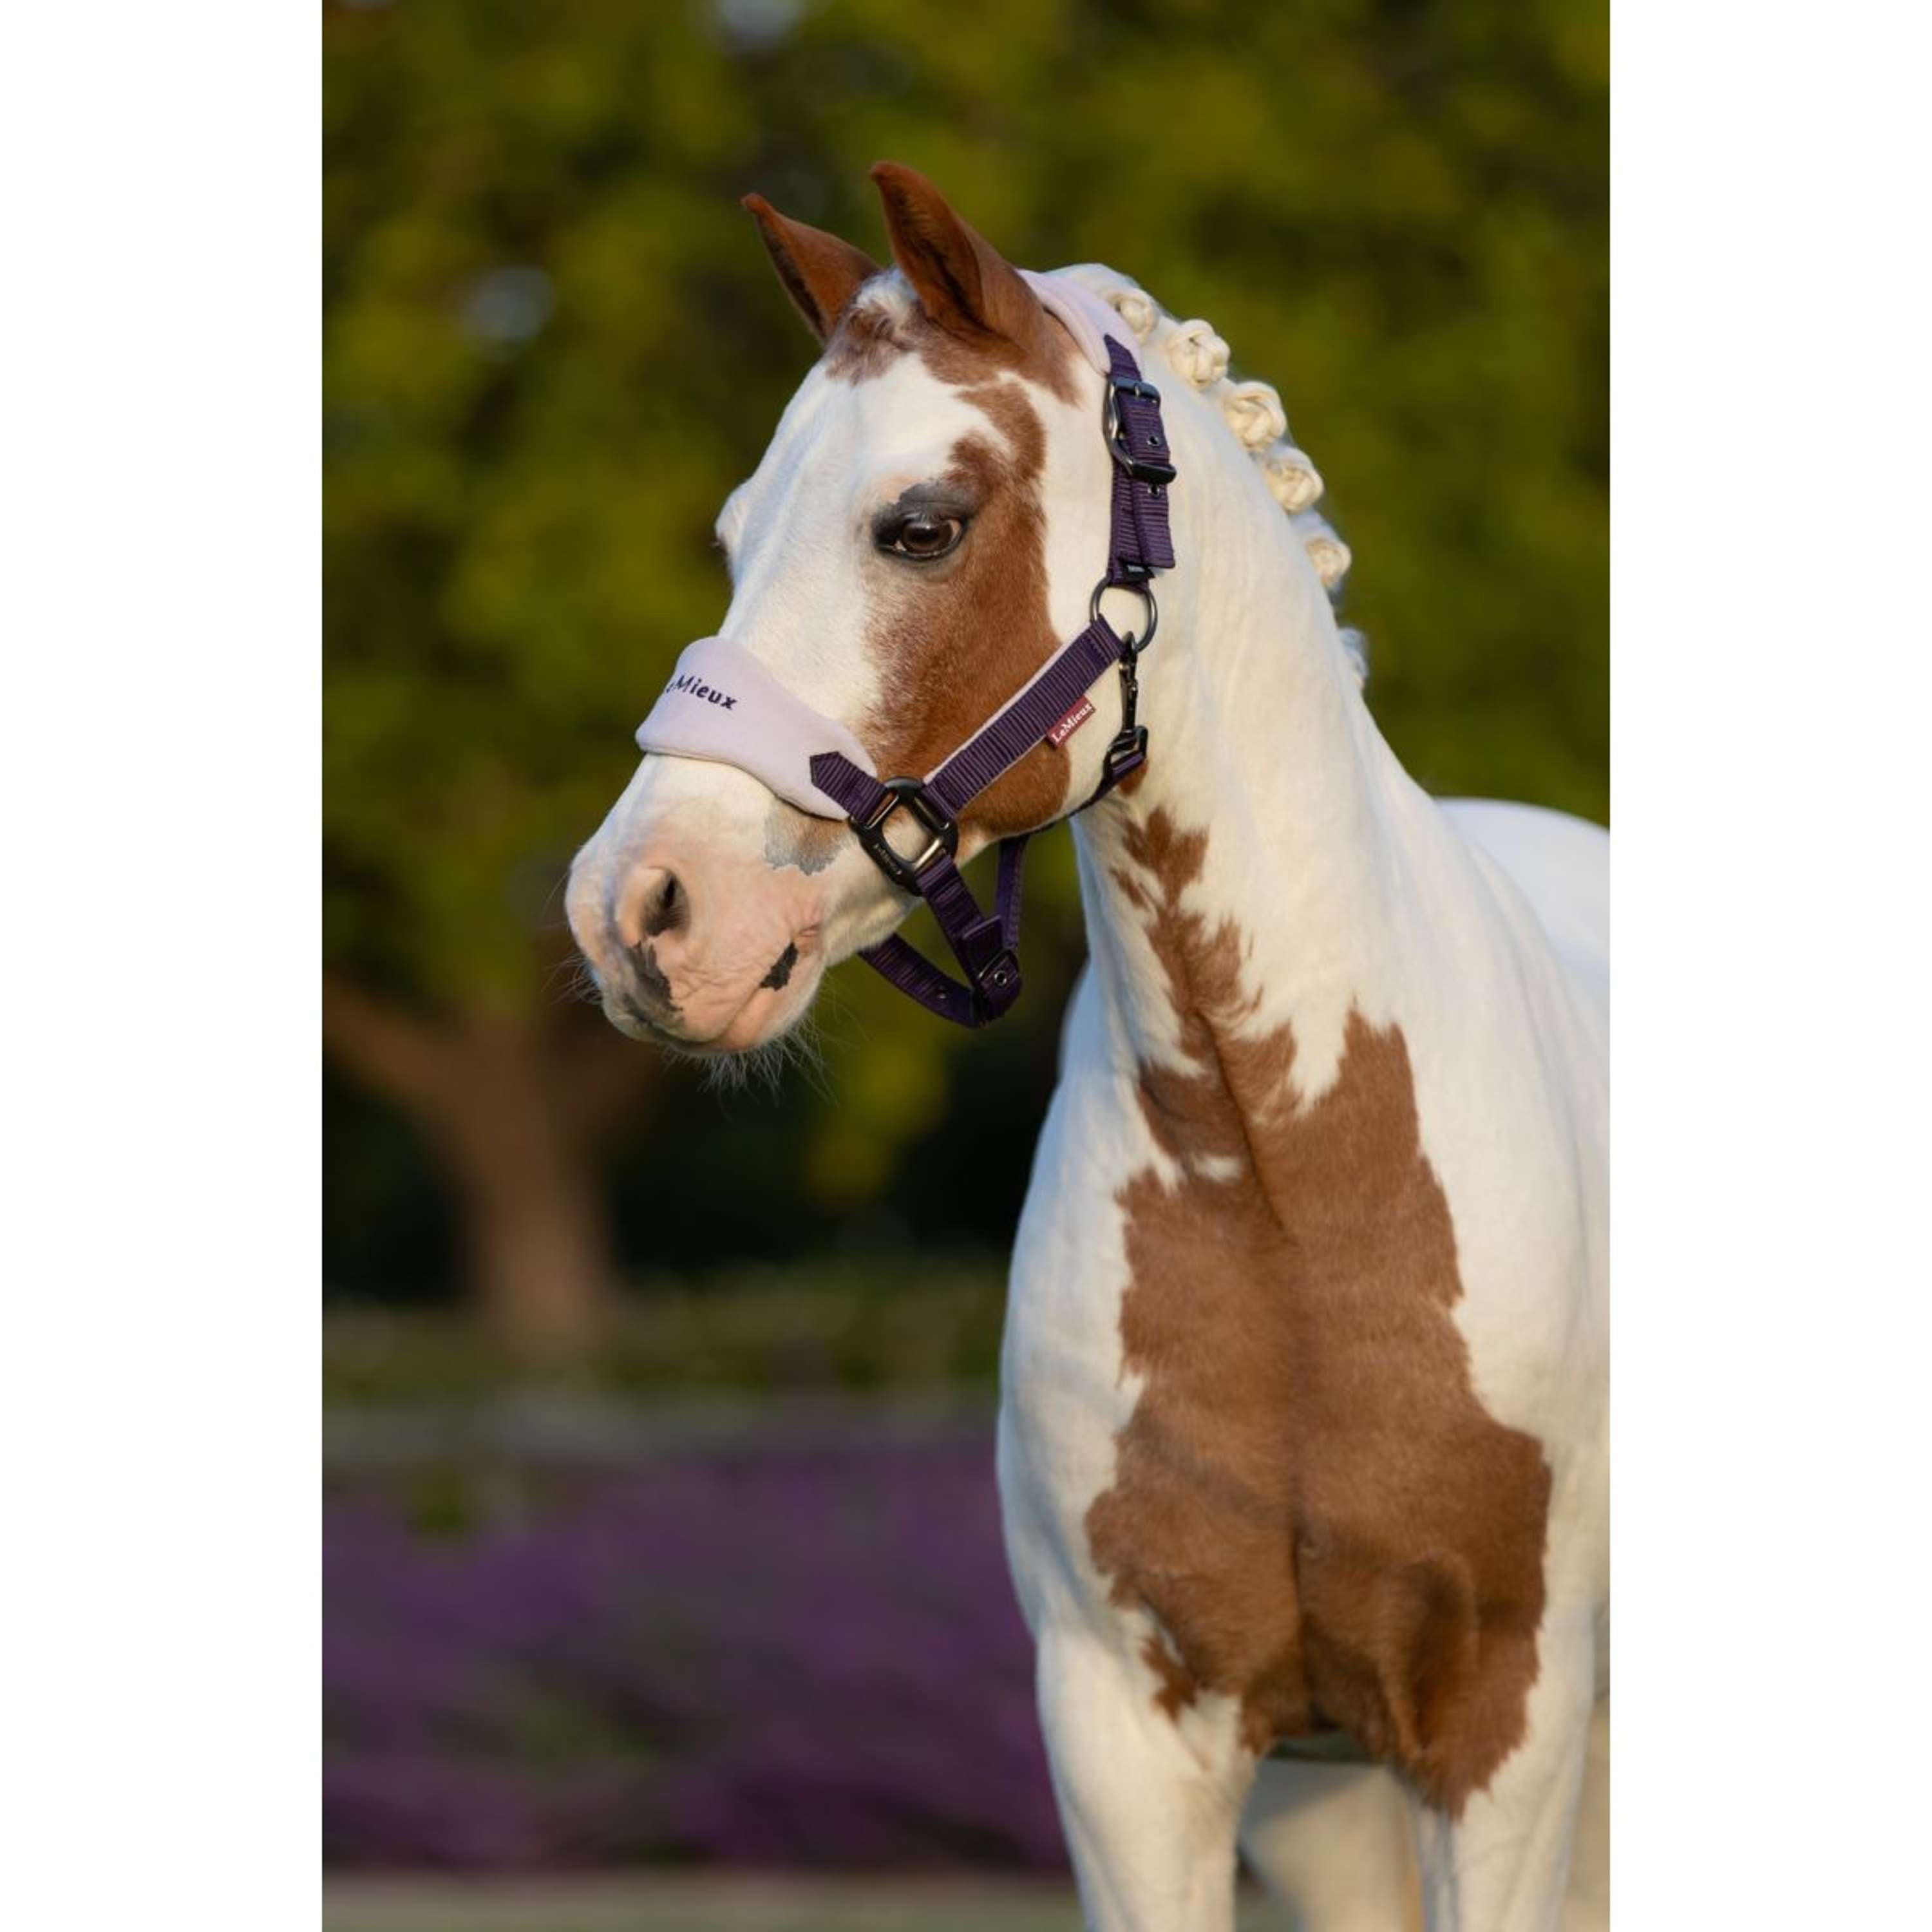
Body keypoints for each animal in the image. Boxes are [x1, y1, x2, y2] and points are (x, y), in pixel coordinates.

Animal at [566, 162, 1608, 1932]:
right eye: (732, 533)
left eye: (921, 522)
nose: (640, 911)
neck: (1290, 1190)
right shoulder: (1134, 1743)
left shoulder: (1504, 1736)